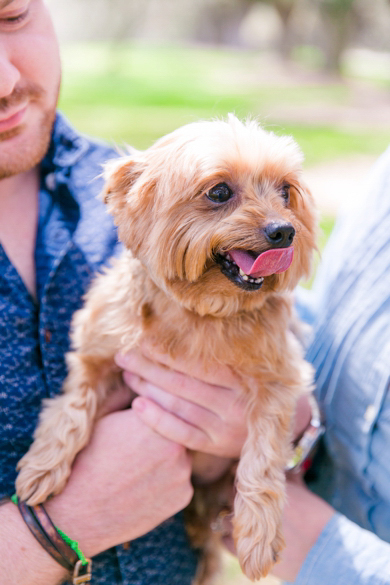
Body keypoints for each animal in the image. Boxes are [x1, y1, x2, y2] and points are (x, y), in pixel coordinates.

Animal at [16, 114, 318, 580]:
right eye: (219, 192)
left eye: (286, 191)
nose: (284, 230)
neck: (202, 312)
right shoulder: (98, 350)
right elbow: (70, 408)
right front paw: (42, 468)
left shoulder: (279, 379)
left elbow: (262, 456)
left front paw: (258, 535)